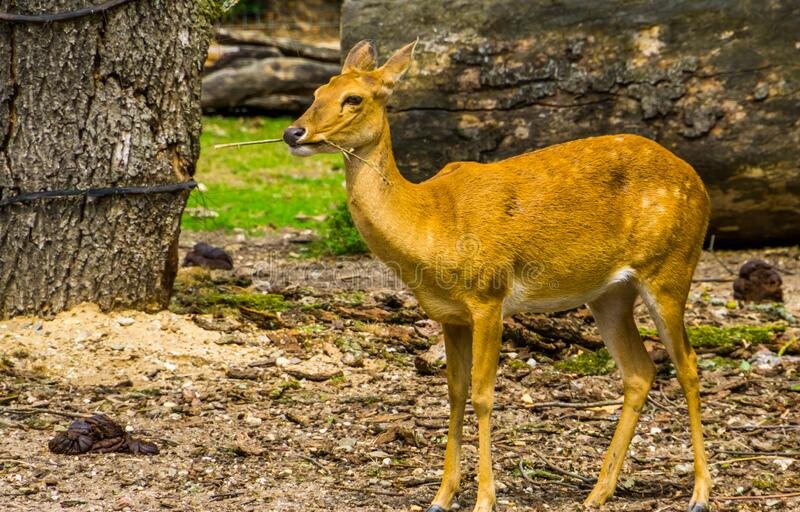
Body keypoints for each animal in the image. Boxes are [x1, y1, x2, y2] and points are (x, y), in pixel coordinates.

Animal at [283, 40, 712, 512]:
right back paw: (597, 492)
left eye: (354, 98)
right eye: (317, 91)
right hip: (610, 293)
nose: (293, 133)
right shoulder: (449, 314)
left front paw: (484, 499)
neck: (431, 223)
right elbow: (454, 392)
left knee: (689, 365)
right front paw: (441, 496)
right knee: (640, 371)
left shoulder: (488, 295)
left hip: (671, 268)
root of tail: (699, 183)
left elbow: (483, 395)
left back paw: (700, 494)